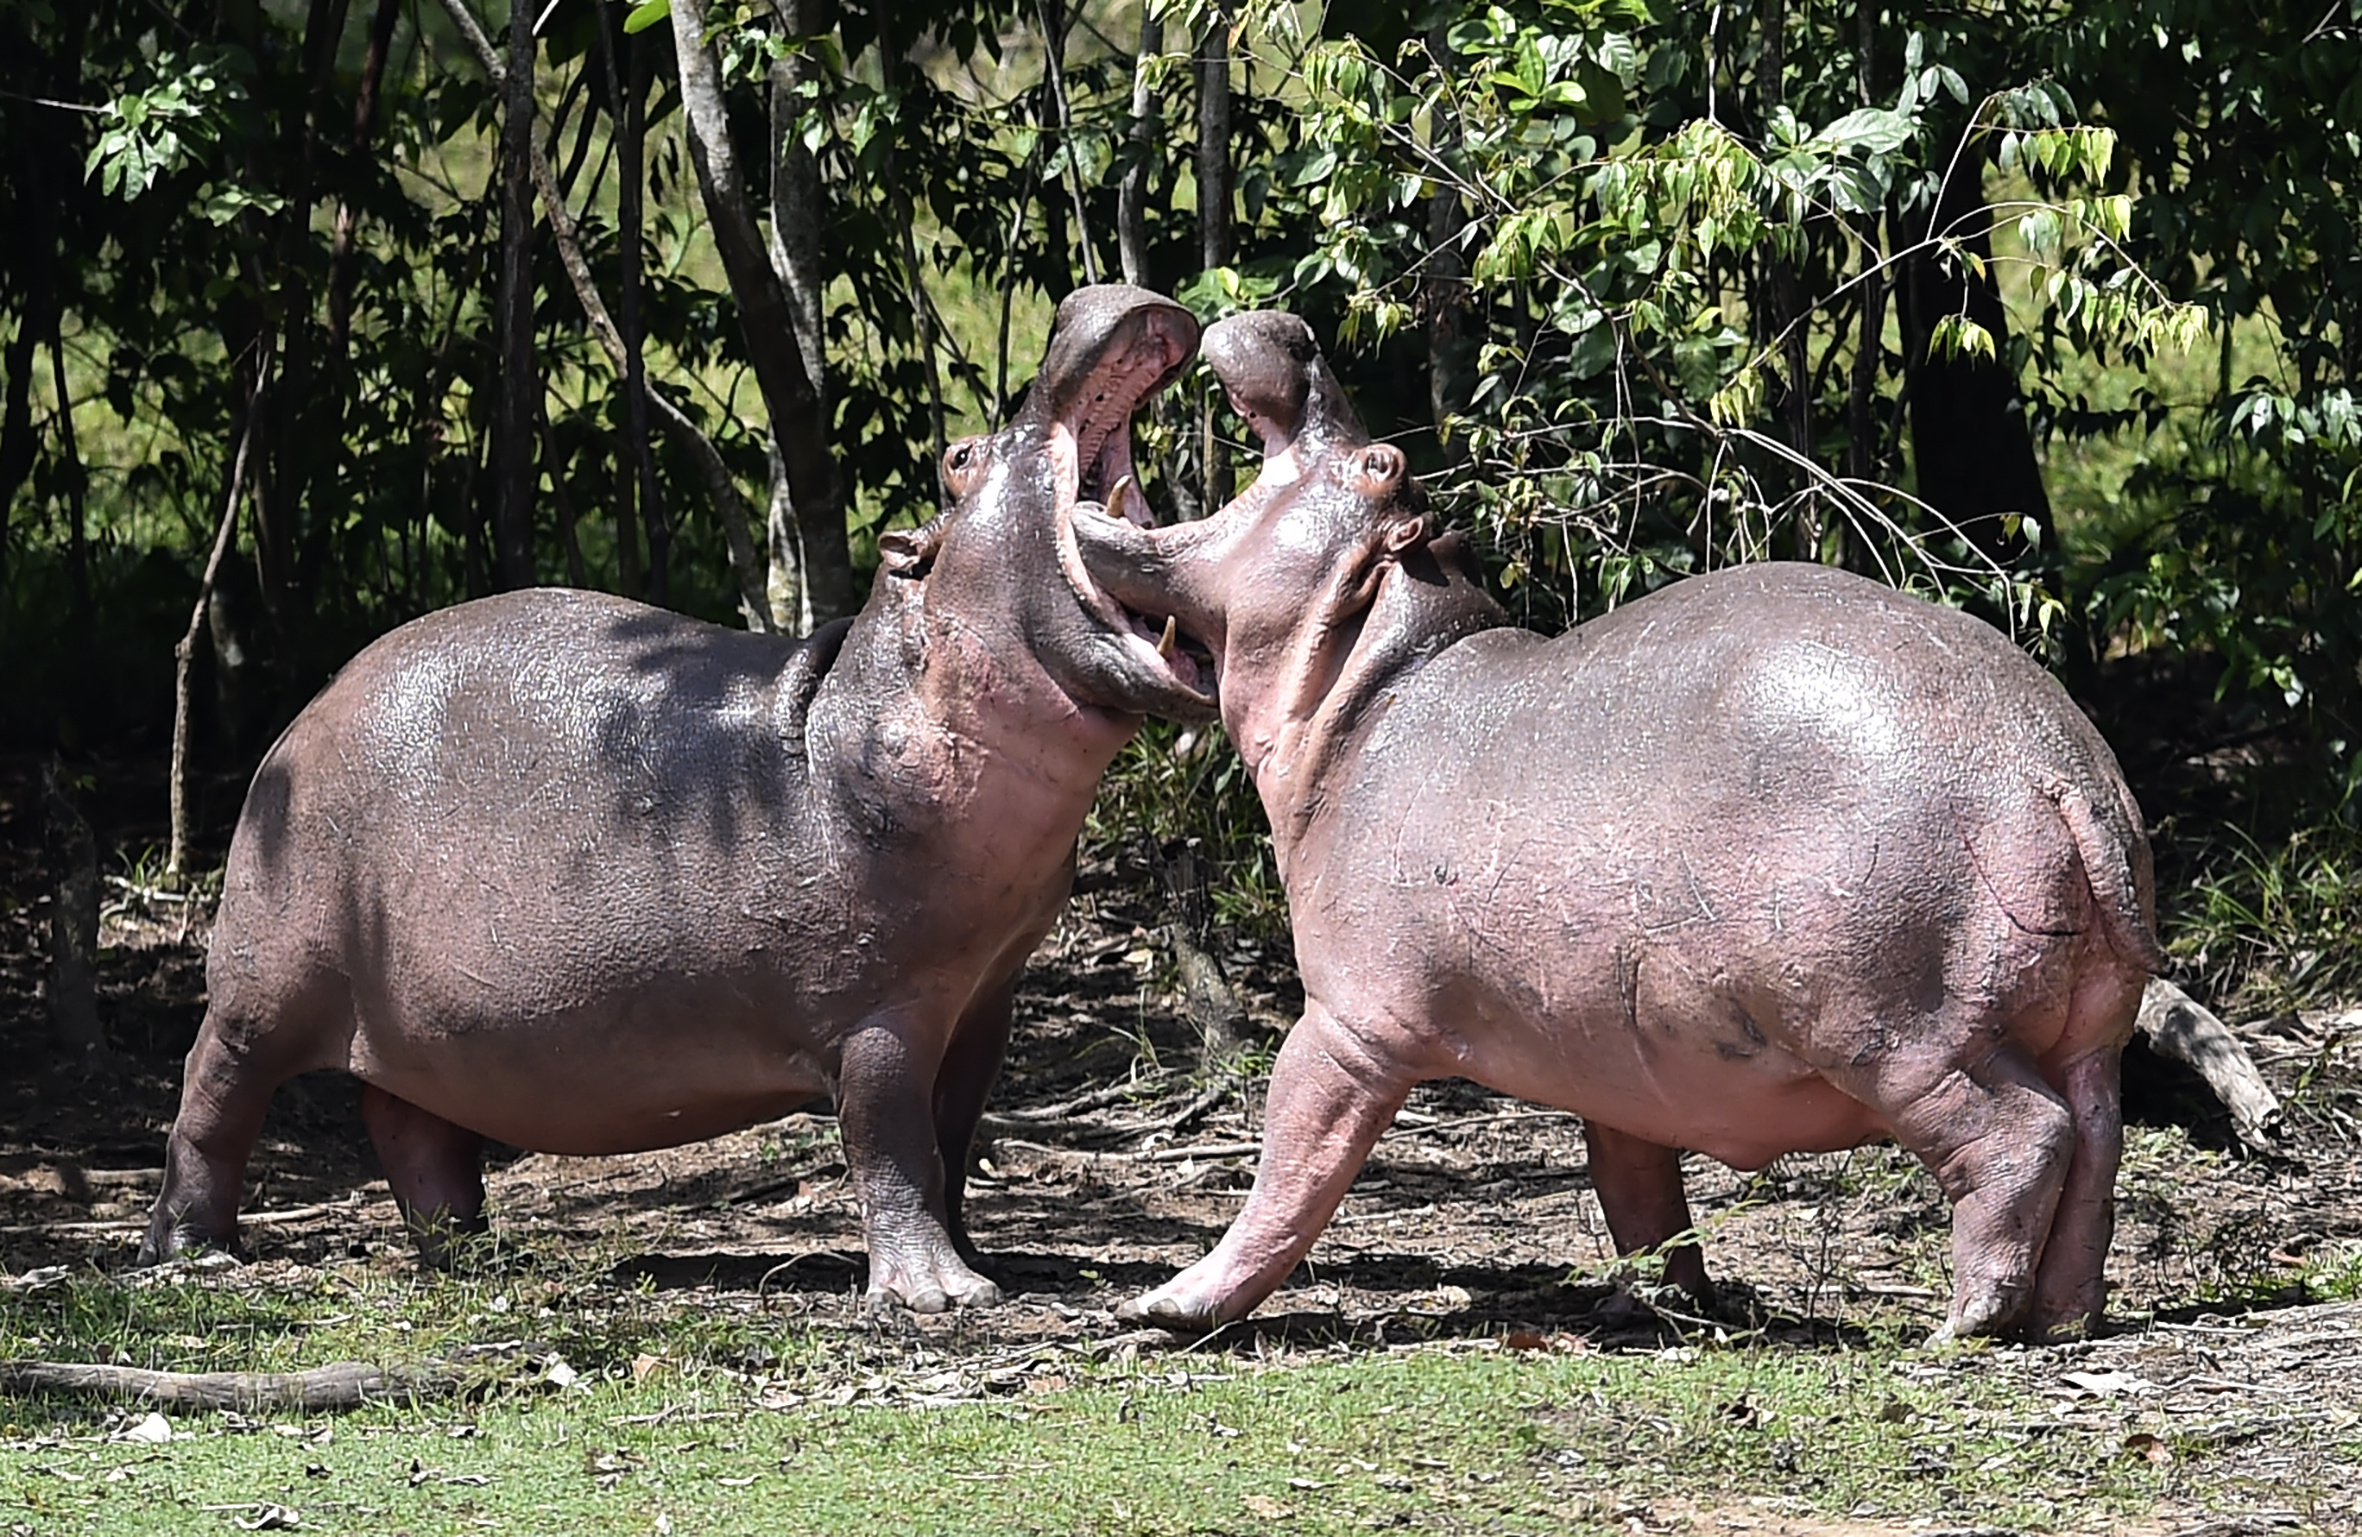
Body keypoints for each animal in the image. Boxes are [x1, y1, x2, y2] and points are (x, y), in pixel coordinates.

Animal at [142, 279, 1218, 1312]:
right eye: (959, 456)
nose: (1084, 301)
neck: (879, 702)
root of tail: (311, 708)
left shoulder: (985, 998)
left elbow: (952, 1145)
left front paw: (987, 1261)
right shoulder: (877, 1011)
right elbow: (893, 1149)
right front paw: (940, 1296)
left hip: (419, 1021)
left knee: (412, 1124)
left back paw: (479, 1255)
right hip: (265, 983)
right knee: (211, 1094)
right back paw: (193, 1253)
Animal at [1081, 316, 2163, 1350]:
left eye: (1376, 463)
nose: (1296, 331)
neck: (1376, 679)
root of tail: (2054, 769)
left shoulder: (1347, 1026)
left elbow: (1289, 1168)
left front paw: (1161, 1308)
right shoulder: (1612, 1062)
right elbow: (1636, 1190)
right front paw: (1658, 1308)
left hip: (1896, 1028)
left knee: (2020, 1137)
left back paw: (1965, 1322)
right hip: (2084, 1029)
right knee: (2096, 1147)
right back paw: (2066, 1317)